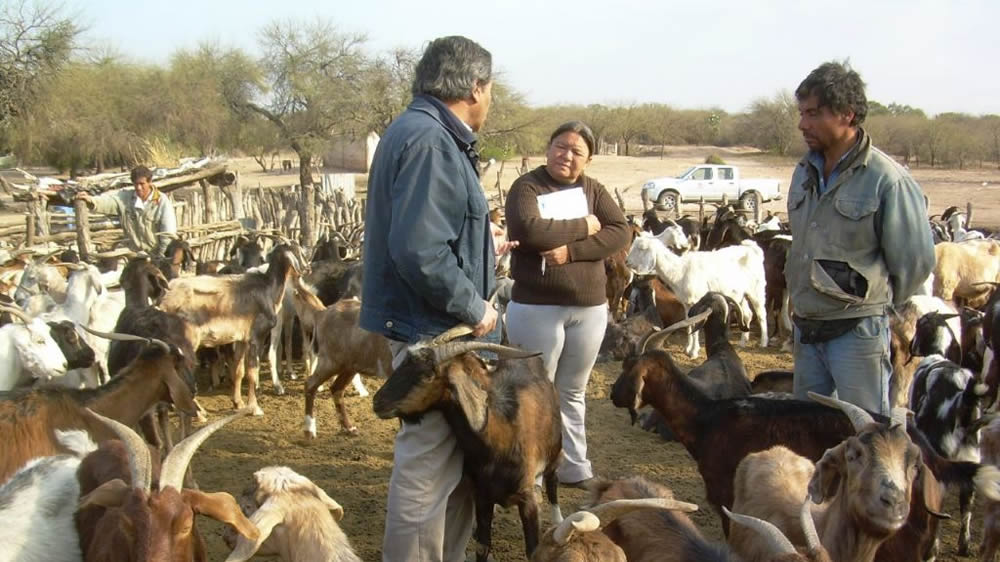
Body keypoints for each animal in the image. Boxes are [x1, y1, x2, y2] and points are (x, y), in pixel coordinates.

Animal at [624, 232, 764, 354]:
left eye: (642, 248)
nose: (626, 262)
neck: (679, 270)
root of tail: (753, 249)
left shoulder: (697, 301)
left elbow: (696, 324)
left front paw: (693, 352)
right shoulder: (687, 304)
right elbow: (689, 324)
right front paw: (688, 348)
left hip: (756, 290)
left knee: (761, 314)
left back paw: (763, 341)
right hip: (740, 294)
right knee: (748, 314)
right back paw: (743, 341)